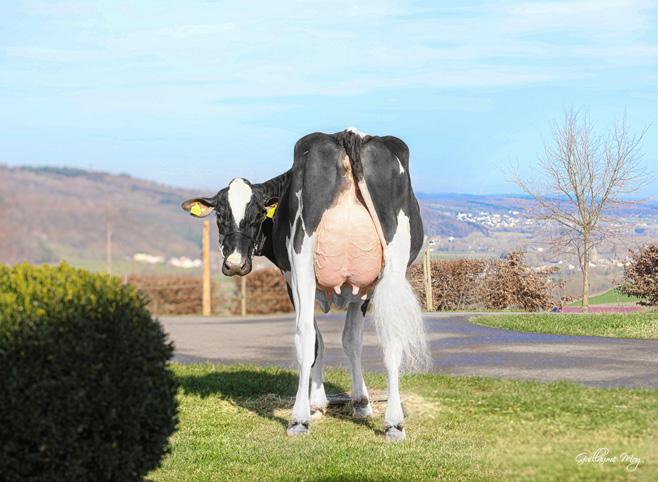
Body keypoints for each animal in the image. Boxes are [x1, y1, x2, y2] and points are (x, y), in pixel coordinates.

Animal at [182, 128, 430, 441]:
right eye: (219, 215)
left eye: (258, 214)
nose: (235, 263)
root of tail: (348, 134)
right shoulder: (365, 289)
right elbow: (351, 340)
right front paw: (361, 403)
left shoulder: (292, 279)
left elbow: (319, 342)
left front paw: (317, 403)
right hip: (392, 269)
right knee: (391, 336)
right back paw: (395, 423)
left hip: (303, 260)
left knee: (304, 335)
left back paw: (299, 419)